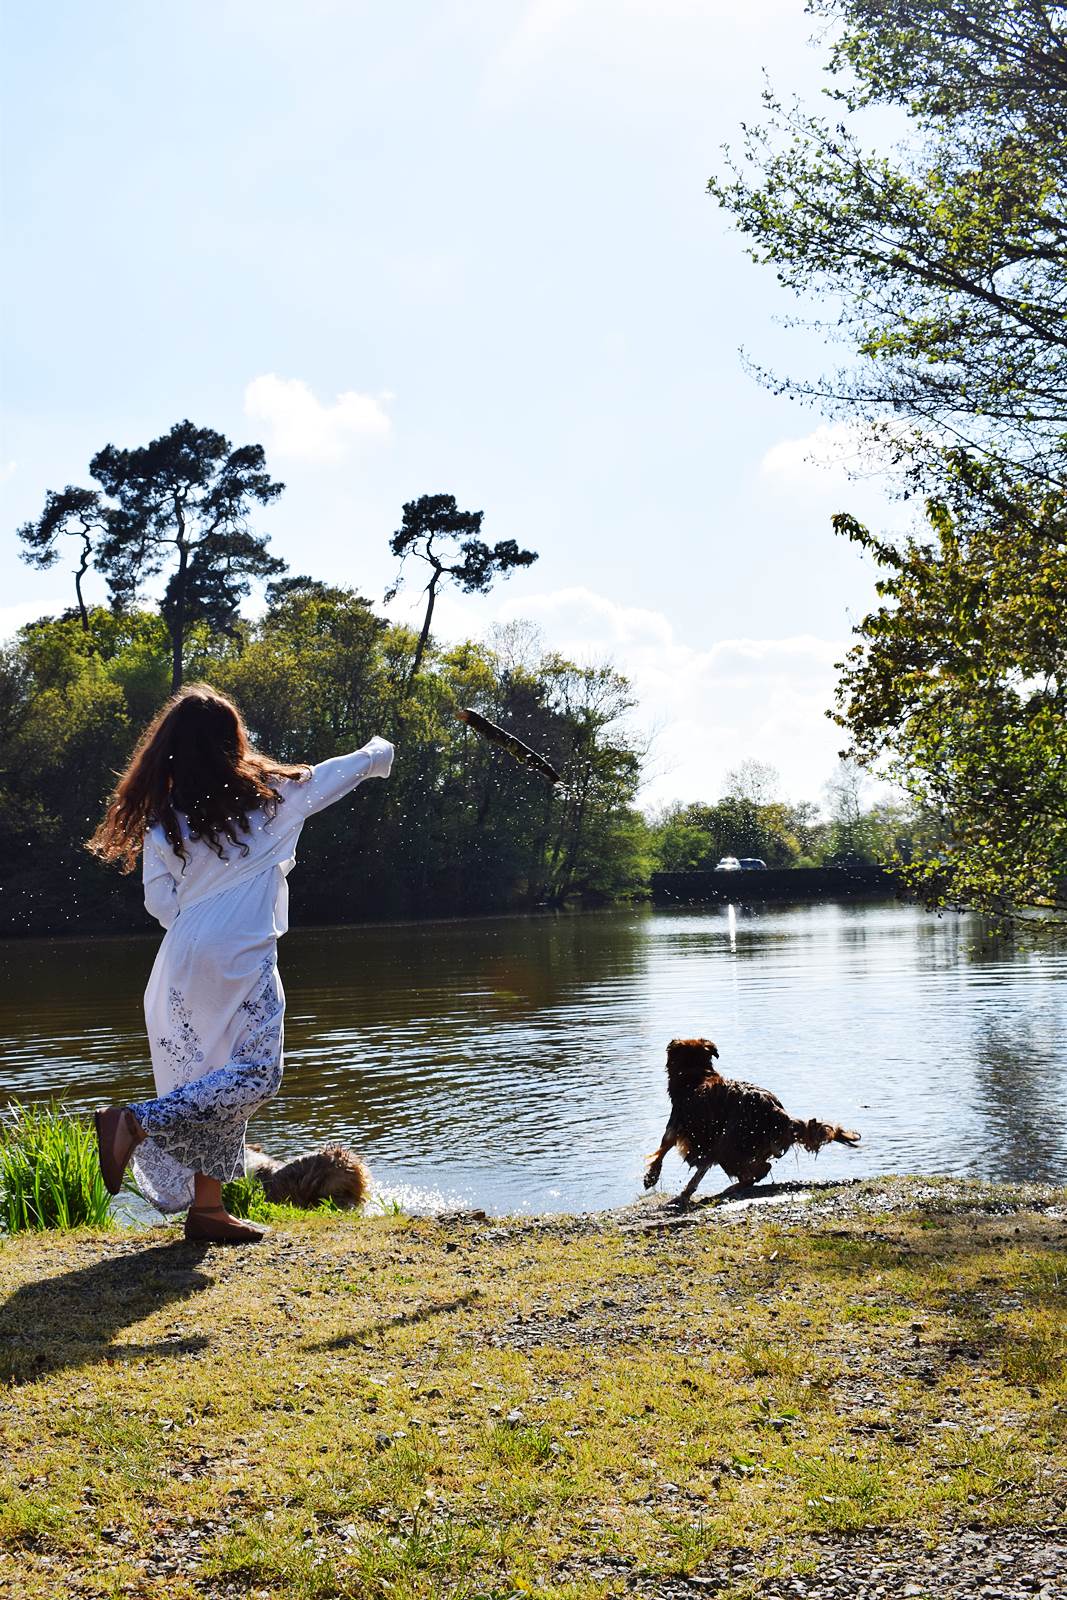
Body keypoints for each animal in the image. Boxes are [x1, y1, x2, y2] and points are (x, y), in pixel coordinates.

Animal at [643, 1043, 857, 1203]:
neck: (697, 1075)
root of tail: (778, 1113)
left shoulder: (677, 1124)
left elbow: (662, 1150)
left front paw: (651, 1177)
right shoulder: (707, 1143)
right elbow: (699, 1170)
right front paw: (685, 1191)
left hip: (728, 1145)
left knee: (756, 1171)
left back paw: (732, 1187)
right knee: (760, 1169)